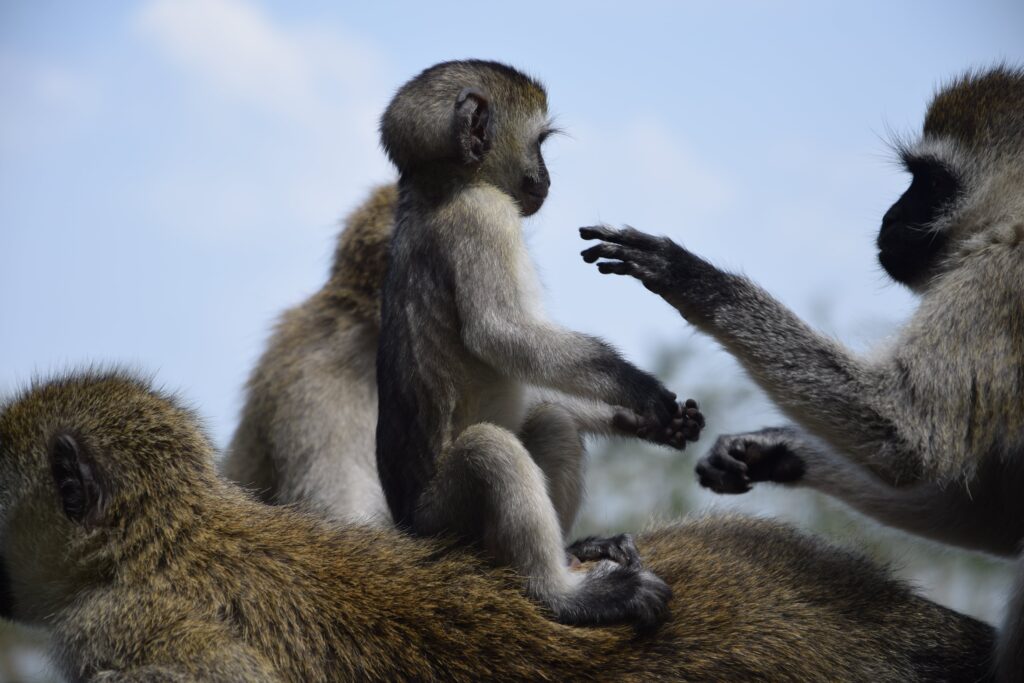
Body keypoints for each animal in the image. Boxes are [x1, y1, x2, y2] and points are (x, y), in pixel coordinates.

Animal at [375, 60, 704, 628]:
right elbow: (501, 333)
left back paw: (575, 552)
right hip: (447, 522)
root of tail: (408, 528)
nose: (548, 178)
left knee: (552, 420)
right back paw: (561, 590)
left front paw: (637, 420)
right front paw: (637, 389)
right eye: (540, 144)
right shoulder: (483, 215)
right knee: (491, 450)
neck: (438, 187)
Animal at [578, 65, 1024, 680]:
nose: (890, 217)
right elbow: (995, 516)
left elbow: (907, 438)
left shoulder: (998, 278)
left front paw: (693, 278)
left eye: (931, 183)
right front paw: (777, 451)